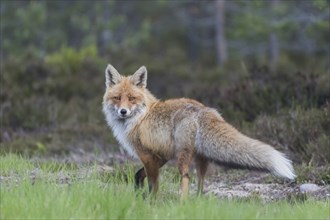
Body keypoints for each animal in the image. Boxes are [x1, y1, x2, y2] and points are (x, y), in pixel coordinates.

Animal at [102, 63, 296, 198]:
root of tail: (205, 110)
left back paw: (183, 205)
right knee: (201, 183)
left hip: (183, 157)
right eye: (117, 98)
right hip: (201, 158)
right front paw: (138, 195)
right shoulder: (161, 156)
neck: (141, 117)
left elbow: (153, 185)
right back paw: (197, 203)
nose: (123, 111)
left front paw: (150, 202)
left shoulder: (148, 156)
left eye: (131, 98)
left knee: (186, 178)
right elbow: (138, 176)